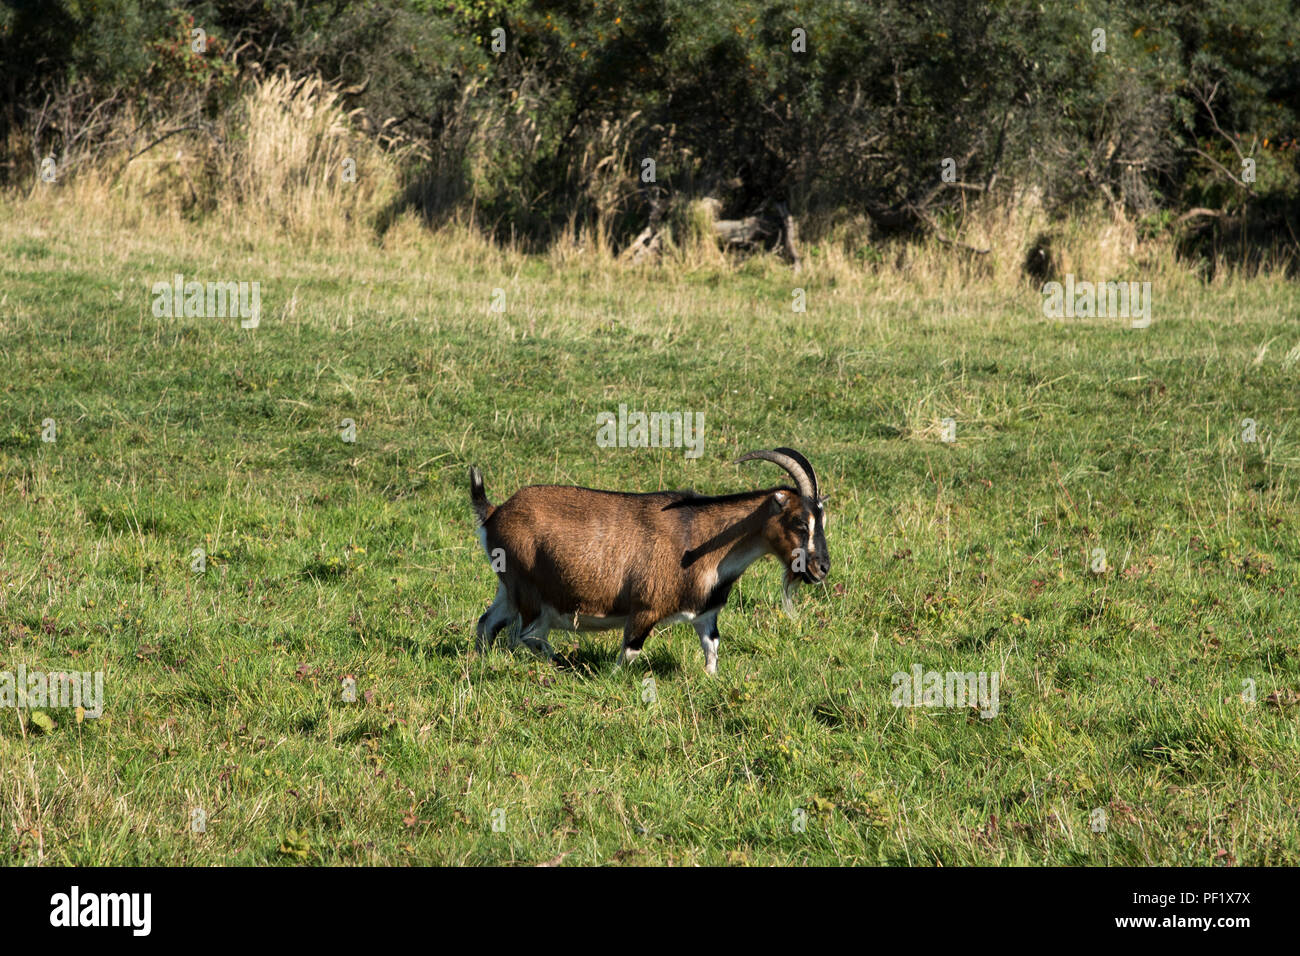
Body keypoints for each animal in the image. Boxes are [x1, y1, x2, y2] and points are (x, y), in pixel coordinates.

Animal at [473, 447, 826, 671]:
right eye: (799, 522)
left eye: (822, 520)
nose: (822, 567)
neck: (698, 538)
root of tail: (494, 513)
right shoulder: (645, 608)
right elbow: (629, 652)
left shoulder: (705, 614)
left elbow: (712, 648)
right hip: (530, 591)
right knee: (528, 635)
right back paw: (561, 660)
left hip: (508, 590)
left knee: (487, 623)